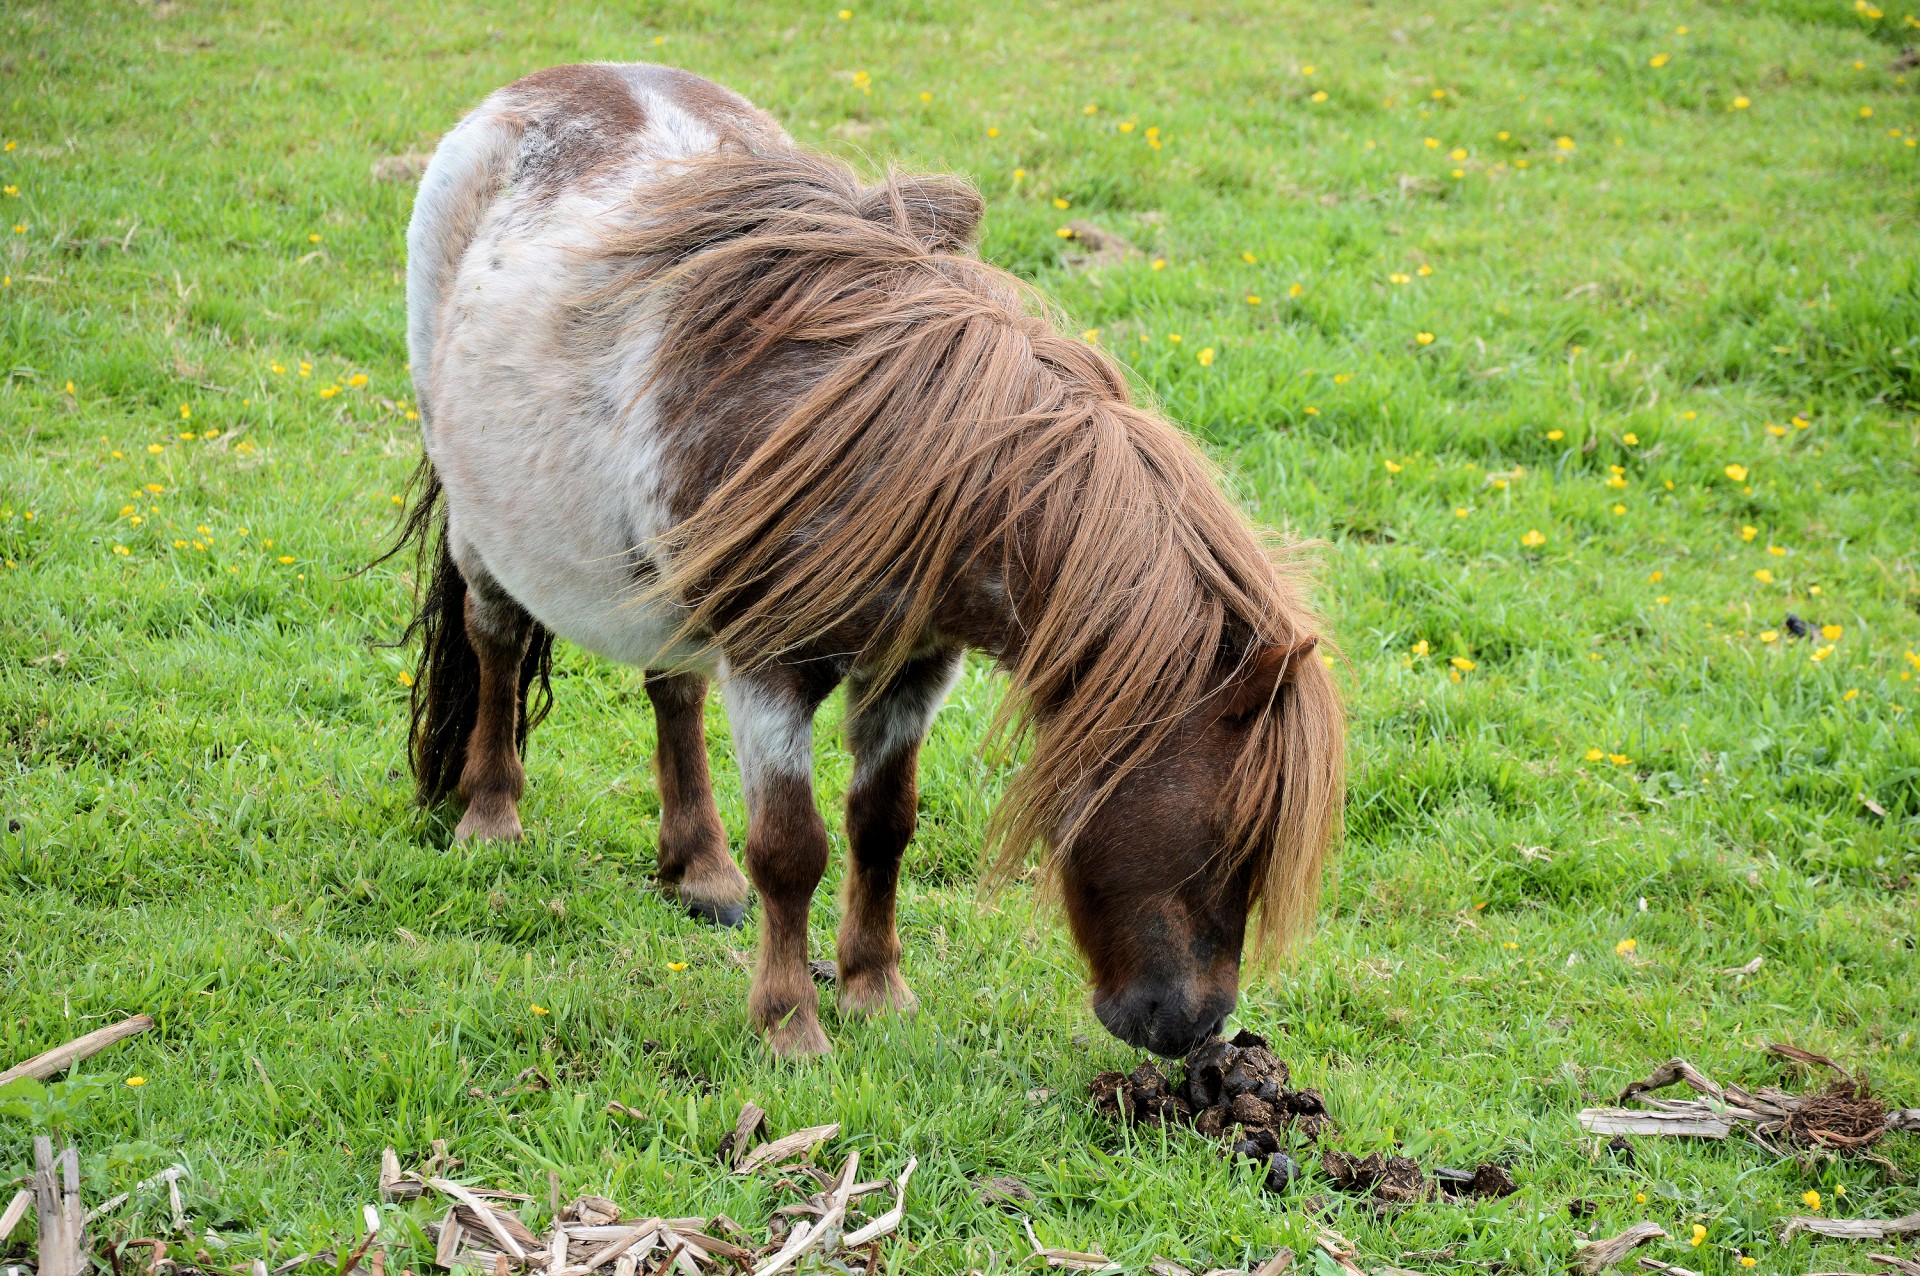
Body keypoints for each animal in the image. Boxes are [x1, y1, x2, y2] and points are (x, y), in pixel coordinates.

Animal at [397, 62, 1344, 1051]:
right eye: (1229, 831)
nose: (1198, 1027)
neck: (902, 470)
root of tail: (565, 78)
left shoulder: (912, 673)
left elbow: (883, 826)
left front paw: (876, 990)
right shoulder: (771, 673)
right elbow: (791, 849)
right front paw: (790, 1026)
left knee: (673, 691)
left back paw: (700, 870)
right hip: (482, 525)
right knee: (496, 639)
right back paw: (491, 817)